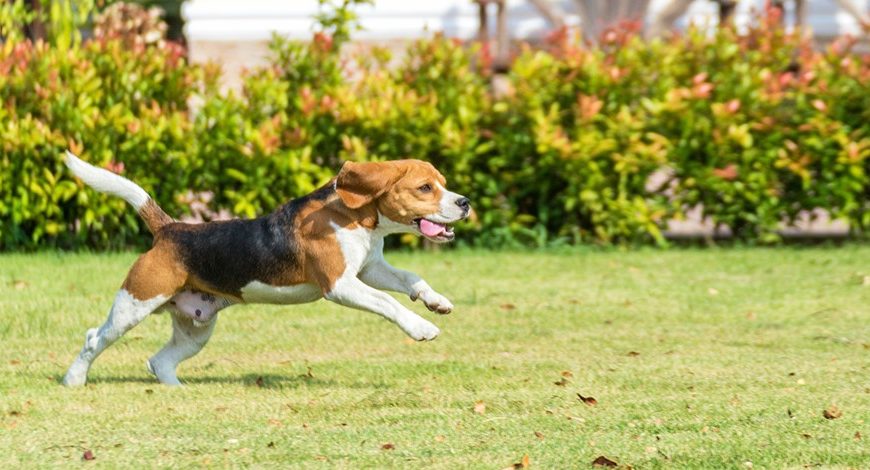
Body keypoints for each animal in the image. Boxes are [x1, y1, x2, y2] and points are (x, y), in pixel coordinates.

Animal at [61, 151, 470, 386]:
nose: (464, 202)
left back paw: (177, 391)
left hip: (196, 328)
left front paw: (436, 302)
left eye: (443, 185)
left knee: (158, 361)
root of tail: (171, 228)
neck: (353, 215)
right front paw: (421, 327)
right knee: (94, 338)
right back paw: (73, 380)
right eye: (425, 188)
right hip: (135, 304)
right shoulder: (340, 284)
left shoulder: (370, 269)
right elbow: (389, 303)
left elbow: (410, 279)